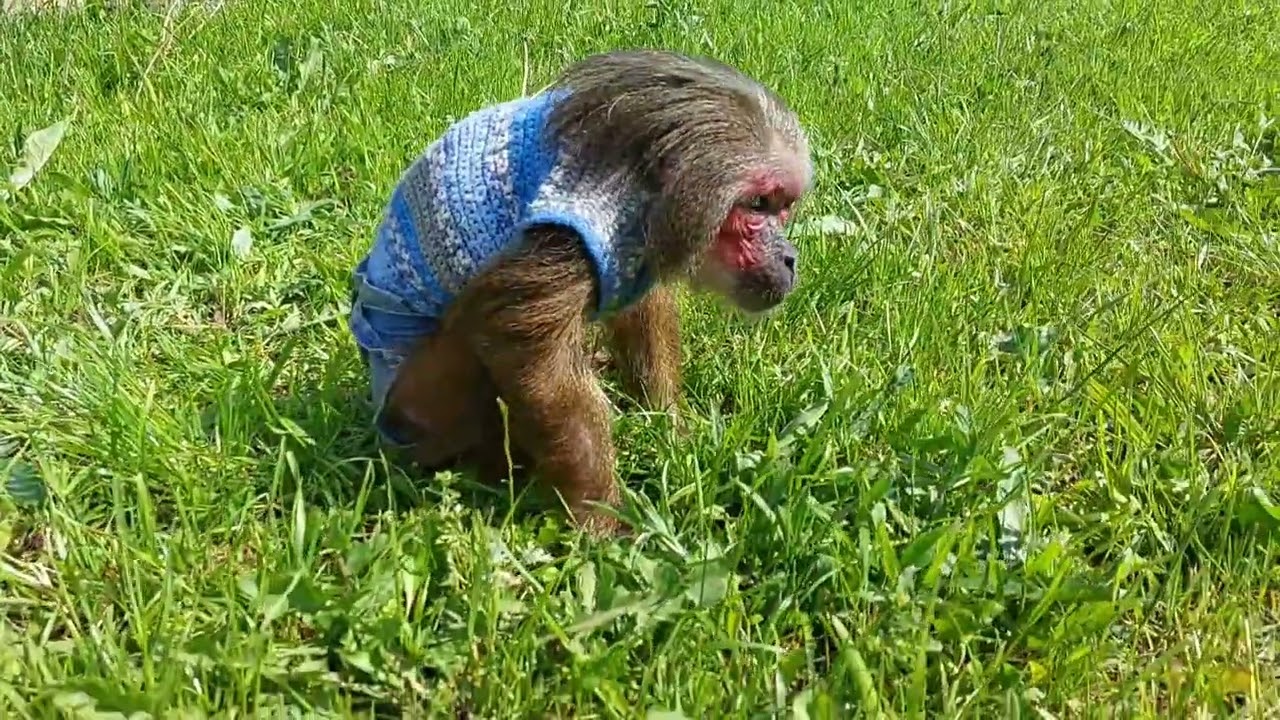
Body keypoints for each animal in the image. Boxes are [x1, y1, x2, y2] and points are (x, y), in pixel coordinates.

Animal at [347, 48, 813, 536]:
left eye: (783, 208)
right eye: (757, 206)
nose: (788, 257)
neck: (638, 189)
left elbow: (639, 313)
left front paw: (667, 429)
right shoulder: (573, 232)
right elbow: (524, 350)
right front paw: (601, 521)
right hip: (417, 406)